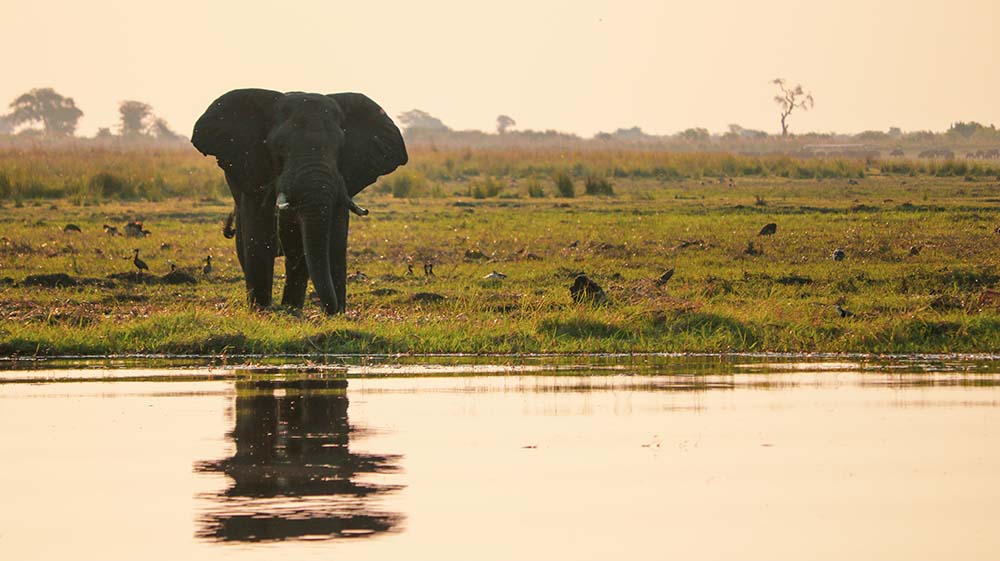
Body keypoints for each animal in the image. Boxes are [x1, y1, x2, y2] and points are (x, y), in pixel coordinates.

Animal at [191, 89, 406, 312]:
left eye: (340, 148)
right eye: (279, 147)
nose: (331, 309)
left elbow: (330, 243)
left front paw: (325, 312)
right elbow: (259, 239)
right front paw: (261, 311)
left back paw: (292, 308)